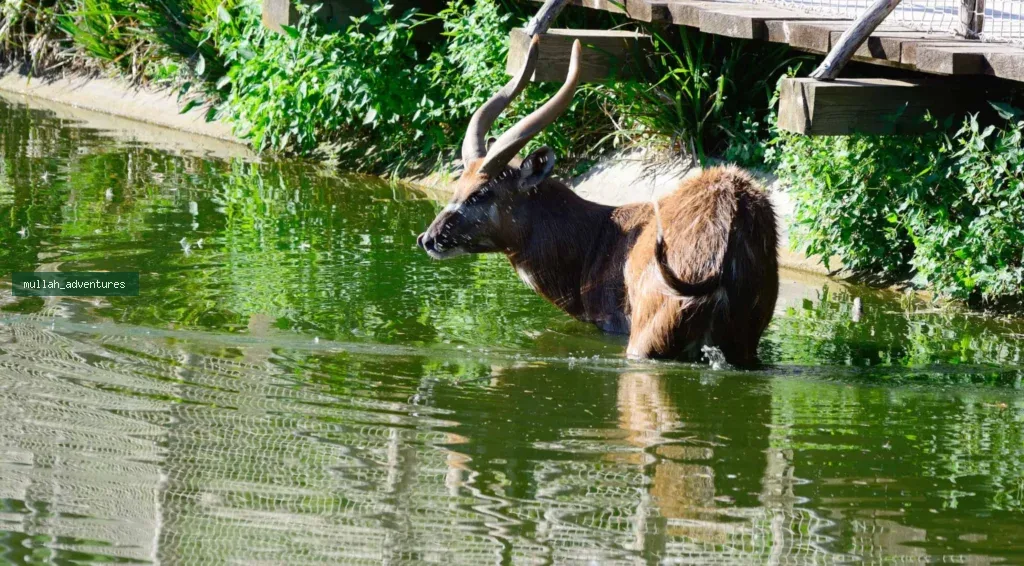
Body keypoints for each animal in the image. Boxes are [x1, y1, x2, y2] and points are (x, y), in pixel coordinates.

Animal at [417, 37, 779, 367]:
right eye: (458, 185)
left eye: (481, 192)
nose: (428, 238)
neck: (595, 243)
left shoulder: (615, 326)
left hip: (648, 338)